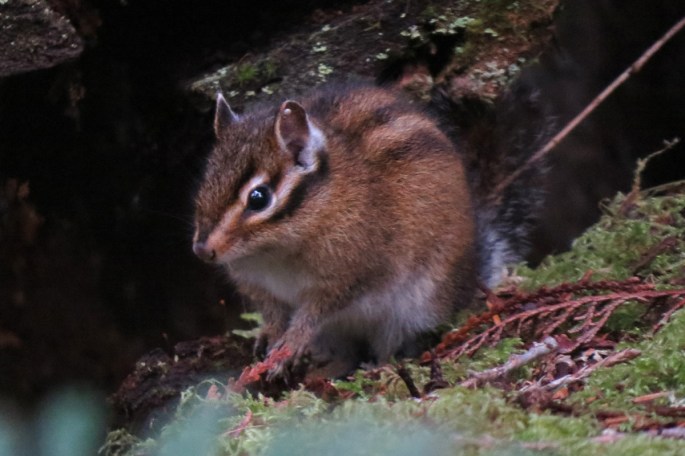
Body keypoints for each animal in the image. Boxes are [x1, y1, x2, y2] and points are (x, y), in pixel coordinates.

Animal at [192, 82, 547, 379]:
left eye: (259, 197)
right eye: (205, 181)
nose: (202, 250)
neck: (275, 252)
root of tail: (470, 277)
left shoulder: (352, 273)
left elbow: (315, 313)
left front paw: (289, 345)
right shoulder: (259, 286)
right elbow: (274, 313)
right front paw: (269, 336)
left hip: (411, 308)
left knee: (389, 344)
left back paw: (376, 368)